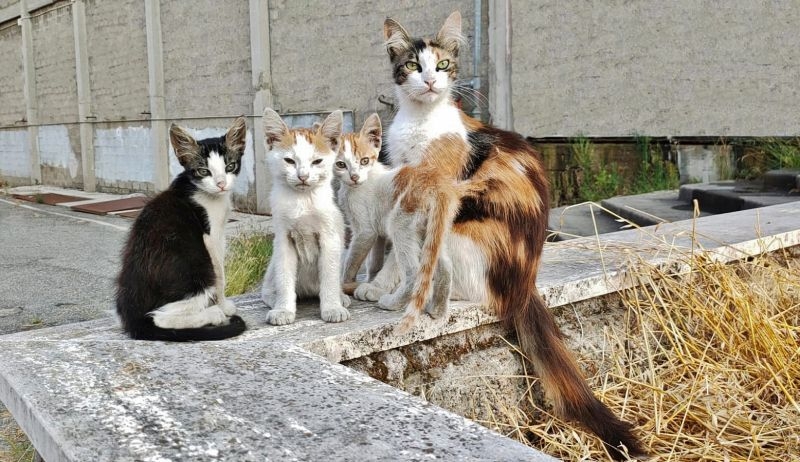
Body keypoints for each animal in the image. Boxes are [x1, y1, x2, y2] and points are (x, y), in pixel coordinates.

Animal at [116, 117, 247, 341]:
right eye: (204, 171)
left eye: (230, 166)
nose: (221, 184)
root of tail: (133, 319)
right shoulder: (211, 237)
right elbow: (220, 275)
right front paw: (223, 305)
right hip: (197, 269)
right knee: (159, 316)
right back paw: (213, 314)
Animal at [260, 108, 351, 326]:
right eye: (289, 161)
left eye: (317, 161)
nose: (303, 176)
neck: (302, 200)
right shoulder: (283, 240)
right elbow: (284, 277)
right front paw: (283, 309)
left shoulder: (330, 238)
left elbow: (329, 276)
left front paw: (333, 307)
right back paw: (273, 298)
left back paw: (340, 296)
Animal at [333, 113, 401, 298]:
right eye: (341, 164)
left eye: (364, 161)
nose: (354, 177)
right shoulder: (377, 228)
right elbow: (374, 260)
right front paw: (370, 276)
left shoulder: (365, 231)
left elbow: (352, 259)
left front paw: (345, 282)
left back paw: (375, 289)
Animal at [377, 12, 645, 459]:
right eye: (413, 65)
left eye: (443, 65)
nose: (431, 81)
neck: (420, 123)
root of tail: (524, 285)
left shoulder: (434, 190)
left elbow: (402, 246)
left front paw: (389, 289)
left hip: (462, 231)